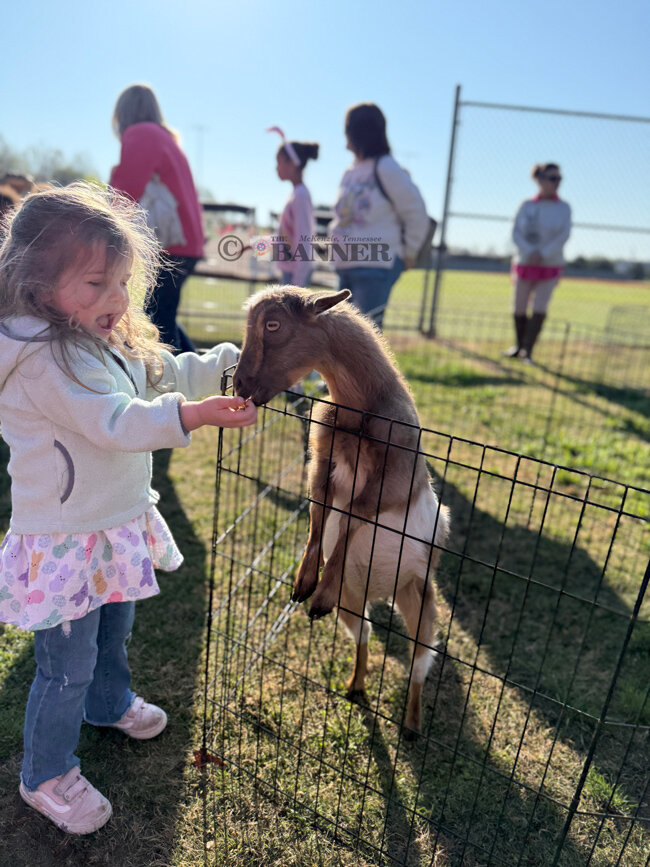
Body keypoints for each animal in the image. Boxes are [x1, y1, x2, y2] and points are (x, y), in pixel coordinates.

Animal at [233, 286, 450, 735]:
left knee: (420, 663)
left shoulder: (395, 482)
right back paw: (355, 686)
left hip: (422, 604)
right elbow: (319, 514)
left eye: (273, 324)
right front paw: (305, 584)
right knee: (364, 638)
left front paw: (320, 590)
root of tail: (382, 593)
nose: (239, 384)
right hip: (353, 606)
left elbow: (351, 515)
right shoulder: (321, 460)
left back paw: (412, 724)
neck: (358, 413)